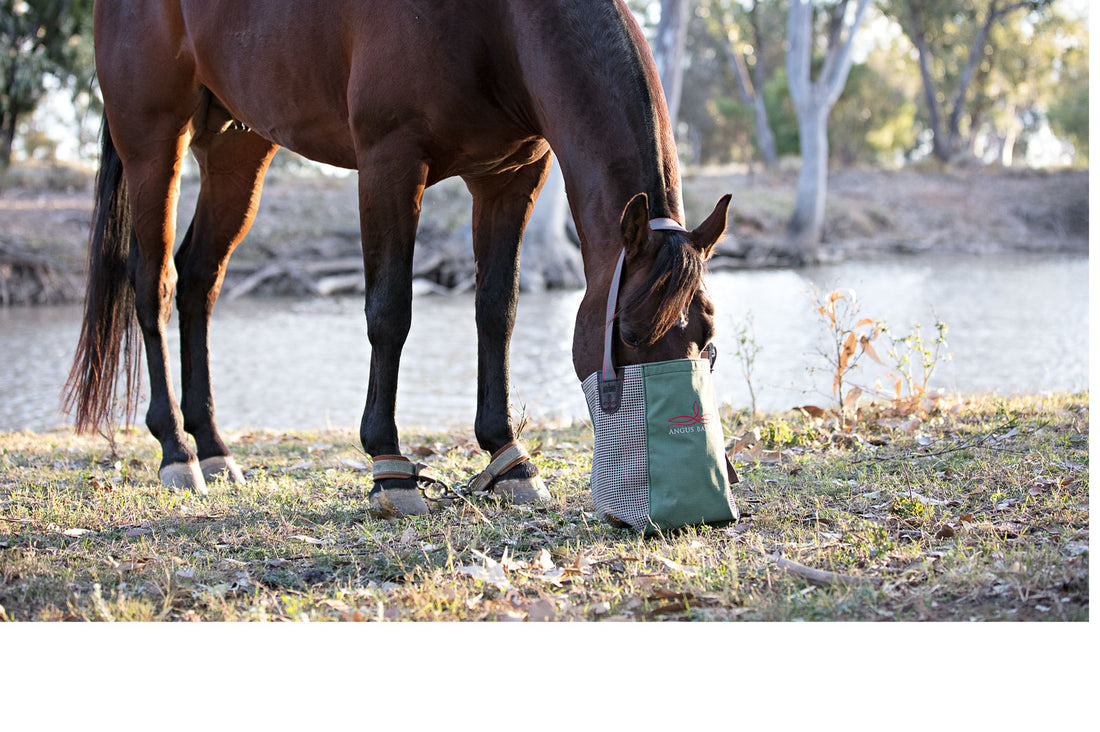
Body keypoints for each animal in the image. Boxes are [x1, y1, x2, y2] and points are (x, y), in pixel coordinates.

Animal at [64, 0, 731, 516]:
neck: (495, 23)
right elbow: (390, 312)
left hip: (239, 147)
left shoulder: (510, 176)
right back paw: (177, 452)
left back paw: (214, 447)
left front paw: (509, 459)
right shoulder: (390, 163)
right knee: (154, 282)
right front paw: (389, 467)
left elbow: (497, 311)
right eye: (629, 334)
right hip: (153, 142)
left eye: (708, 340)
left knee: (200, 278)